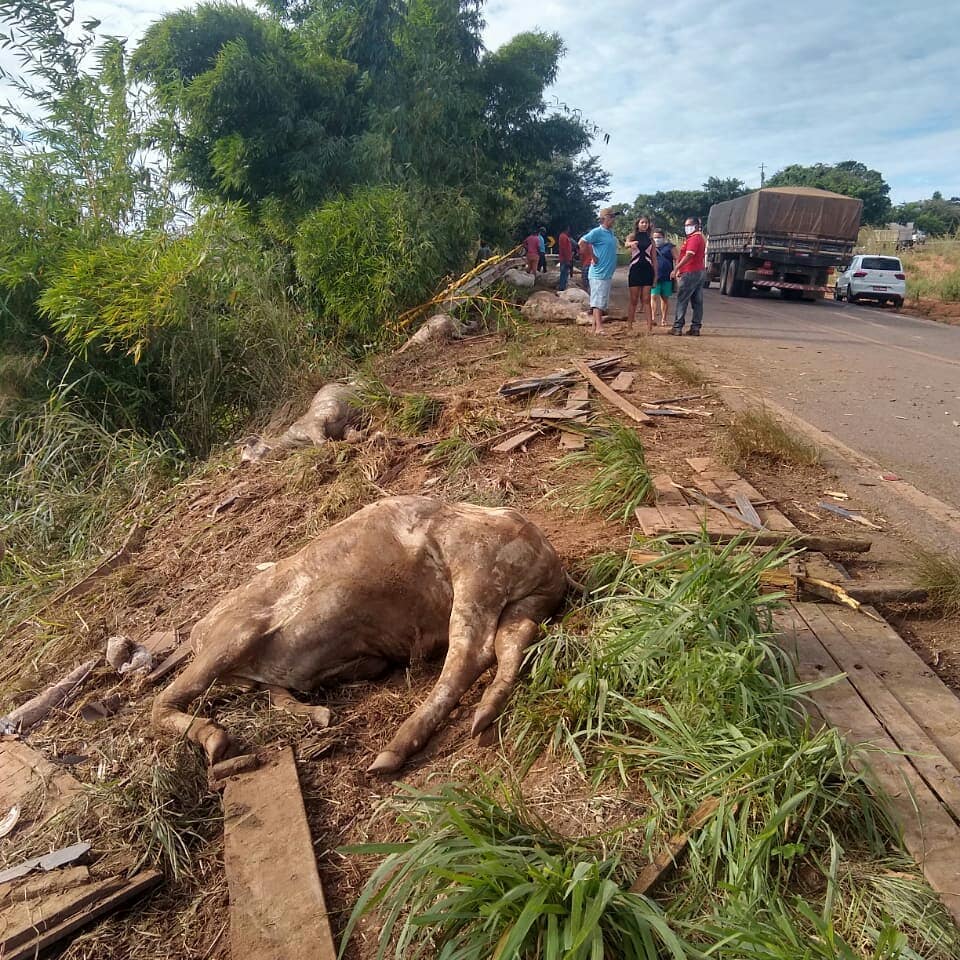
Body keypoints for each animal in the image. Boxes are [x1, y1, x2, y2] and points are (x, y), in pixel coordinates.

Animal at [153, 496, 568, 772]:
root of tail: (544, 550)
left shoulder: (238, 632)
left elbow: (165, 702)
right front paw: (319, 713)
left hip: (475, 572)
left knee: (470, 653)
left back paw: (390, 753)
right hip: (523, 600)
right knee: (513, 639)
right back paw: (482, 715)